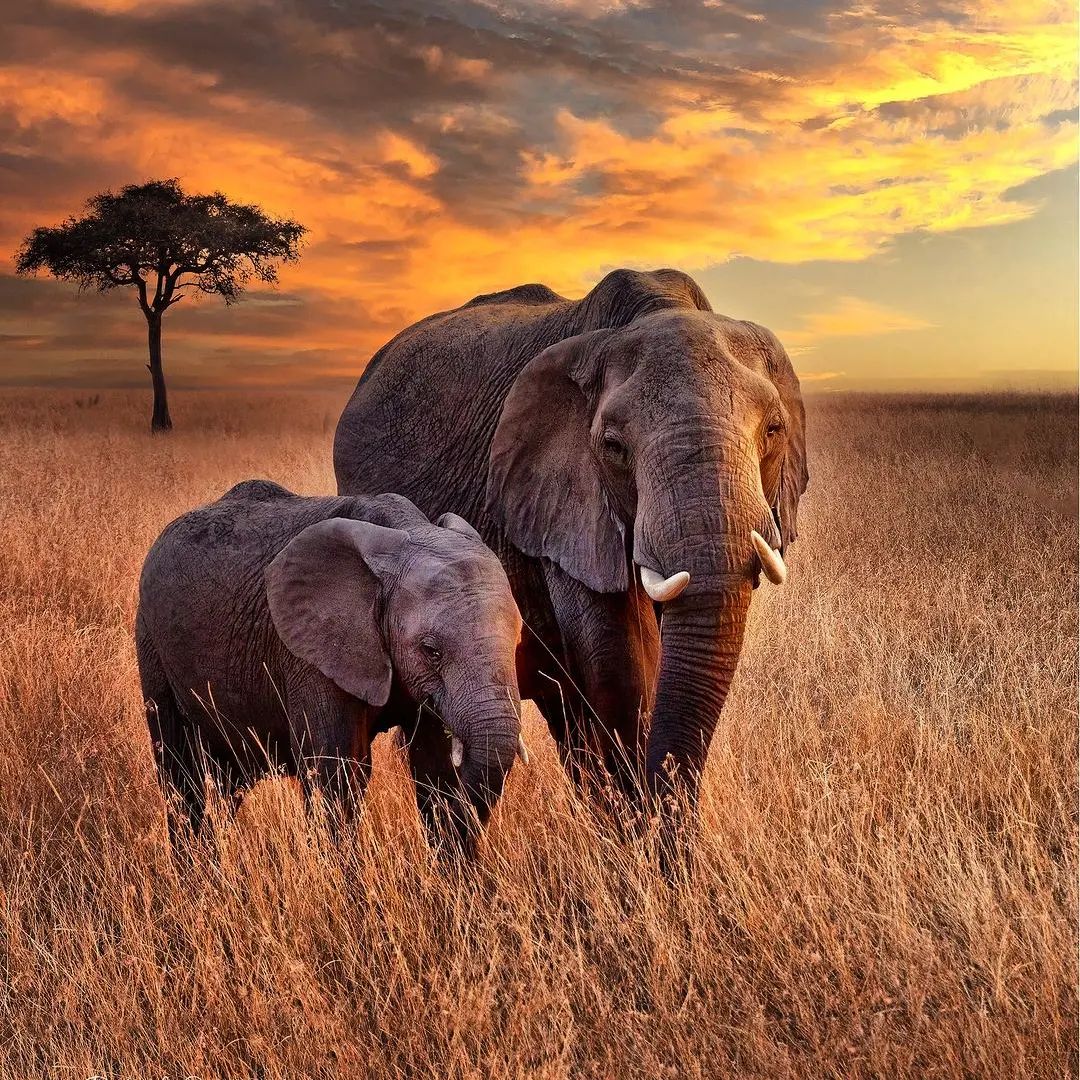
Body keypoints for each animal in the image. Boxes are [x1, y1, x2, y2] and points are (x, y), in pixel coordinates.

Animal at [135, 480, 526, 856]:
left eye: (518, 641)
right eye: (431, 651)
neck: (406, 531)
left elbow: (435, 768)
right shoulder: (309, 655)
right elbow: (336, 774)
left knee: (226, 781)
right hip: (151, 643)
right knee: (179, 773)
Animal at [333, 268, 808, 864]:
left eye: (773, 431)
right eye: (613, 446)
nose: (677, 865)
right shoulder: (564, 500)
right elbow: (620, 660)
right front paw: (639, 859)